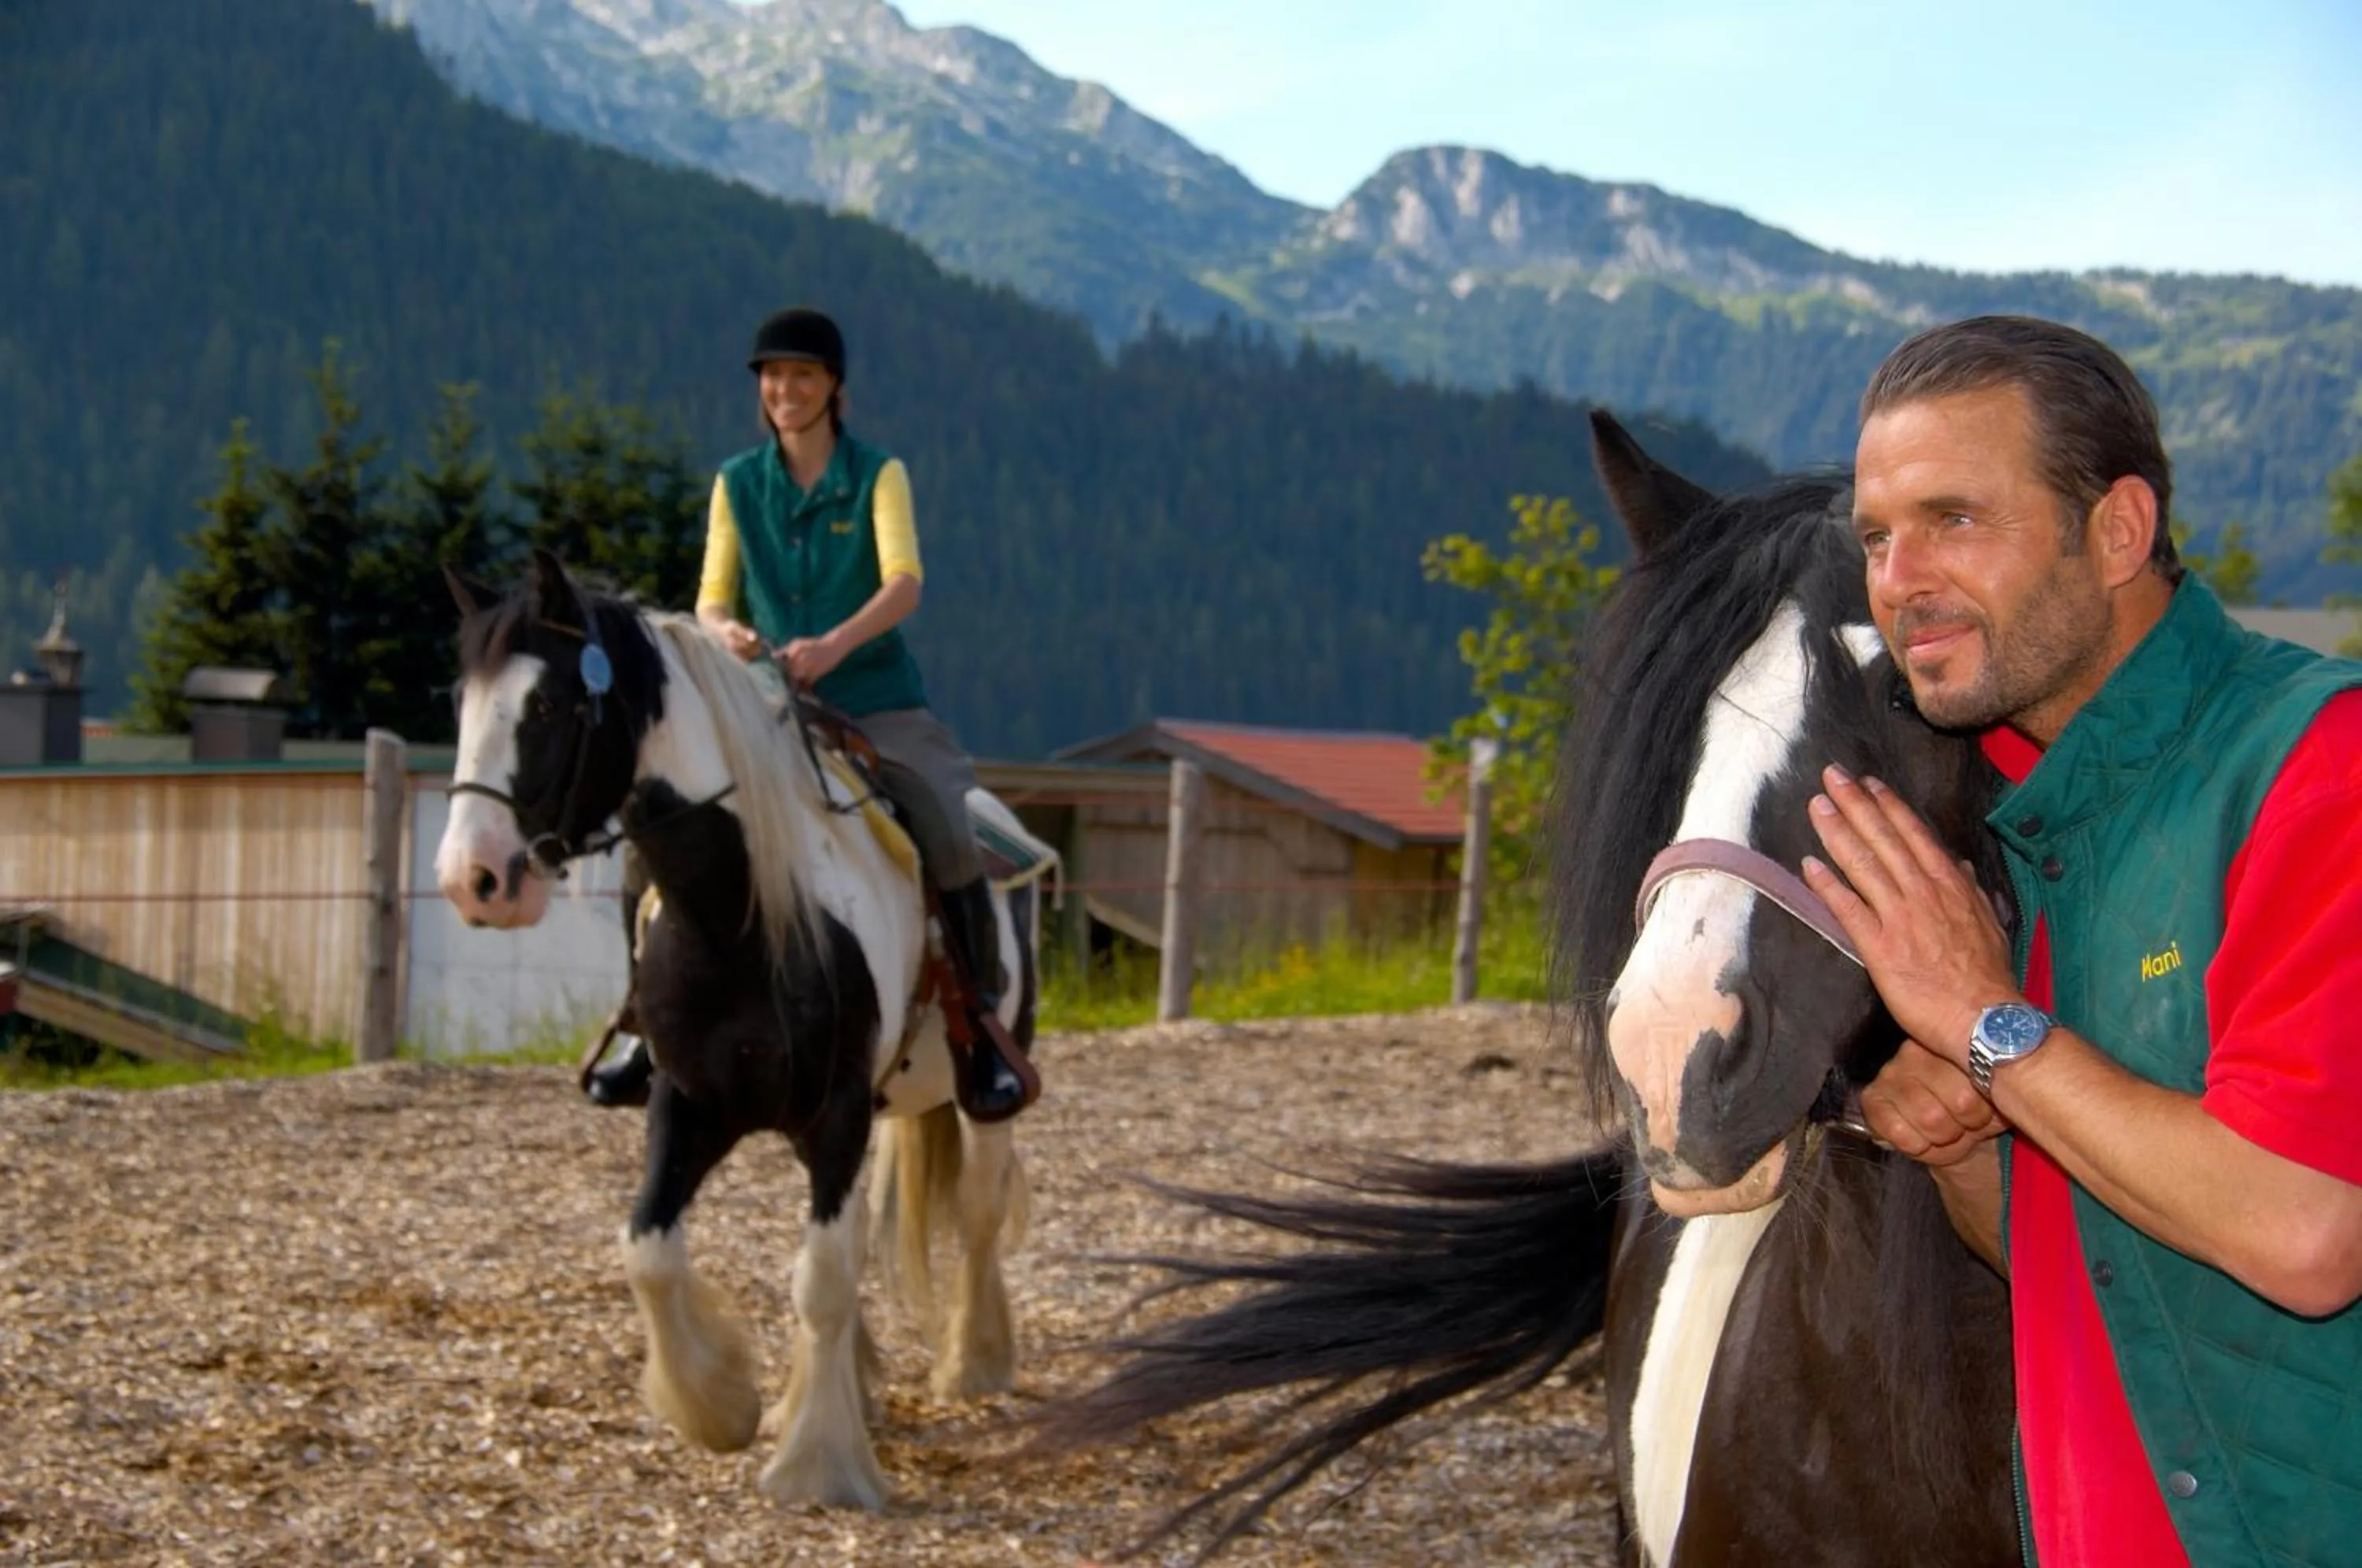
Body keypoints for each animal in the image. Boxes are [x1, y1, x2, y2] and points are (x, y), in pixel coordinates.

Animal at [433, 549, 1040, 1509]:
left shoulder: (835, 1115)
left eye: (551, 705)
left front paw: (816, 1464)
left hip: (986, 1090)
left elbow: (821, 1278)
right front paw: (720, 1404)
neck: (742, 916)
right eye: (464, 705)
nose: (473, 878)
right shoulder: (687, 1103)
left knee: (977, 1212)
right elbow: (649, 1251)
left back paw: (971, 1363)